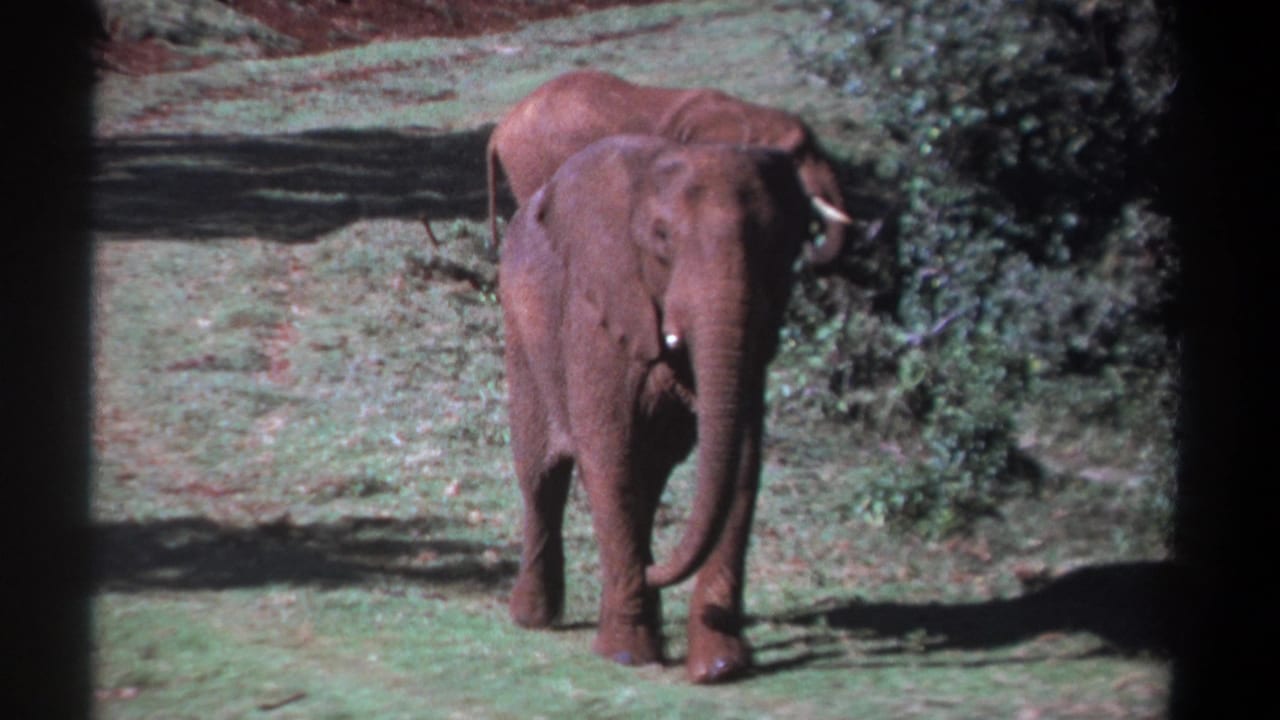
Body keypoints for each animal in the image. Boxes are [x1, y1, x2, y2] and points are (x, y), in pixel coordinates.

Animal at [498, 134, 812, 684]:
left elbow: (742, 463)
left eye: (773, 242)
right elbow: (608, 450)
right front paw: (626, 656)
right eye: (662, 237)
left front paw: (720, 668)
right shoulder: (597, 309)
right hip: (521, 331)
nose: (656, 571)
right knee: (541, 476)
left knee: (649, 476)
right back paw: (534, 618)